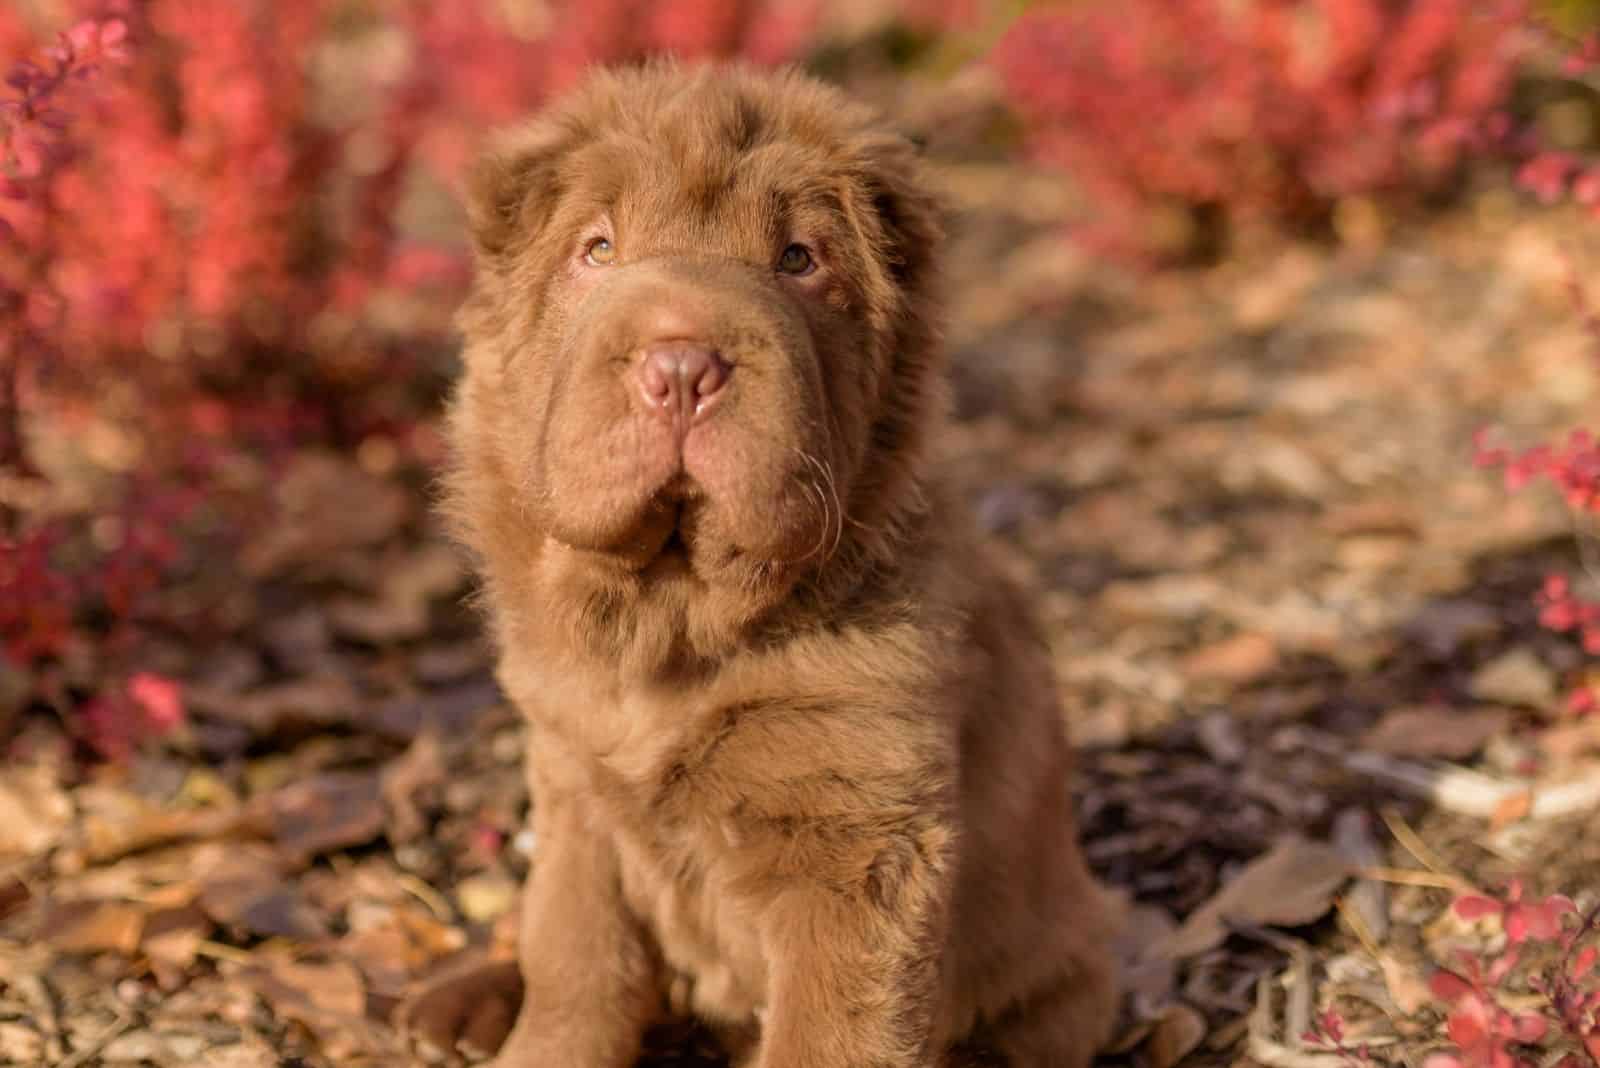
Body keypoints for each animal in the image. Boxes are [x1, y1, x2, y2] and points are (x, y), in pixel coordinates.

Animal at [406, 62, 1120, 1061]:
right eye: (597, 249)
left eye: (798, 260)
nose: (681, 367)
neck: (672, 622)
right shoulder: (574, 785)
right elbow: (573, 958)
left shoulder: (861, 837)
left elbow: (829, 1028)